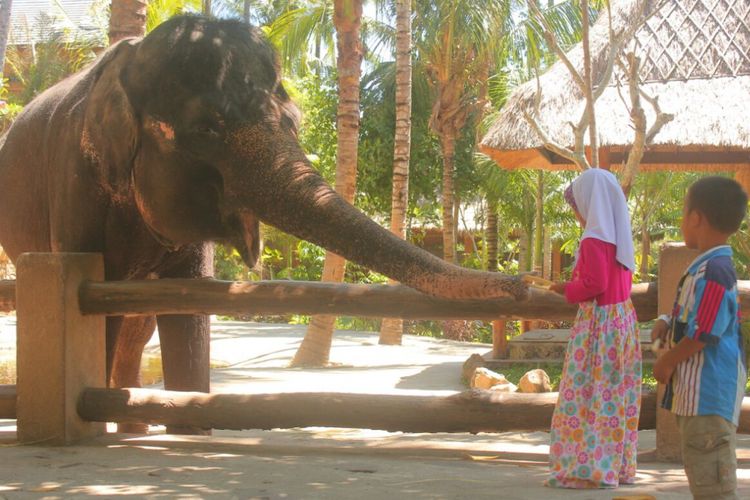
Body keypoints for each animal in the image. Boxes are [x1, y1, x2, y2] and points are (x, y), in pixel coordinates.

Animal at [0, 13, 524, 432]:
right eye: (206, 130)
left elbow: (188, 311)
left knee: (138, 326)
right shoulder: (73, 184)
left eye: (292, 122)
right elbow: (99, 310)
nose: (523, 284)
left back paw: (134, 428)